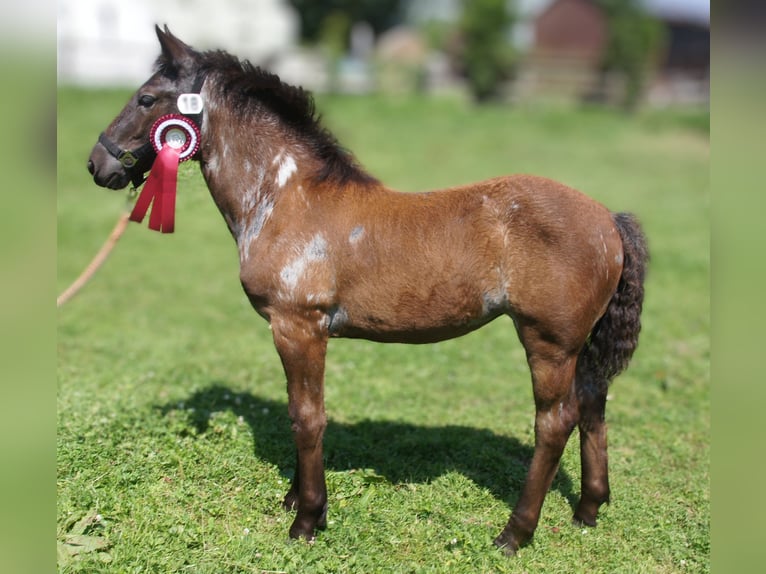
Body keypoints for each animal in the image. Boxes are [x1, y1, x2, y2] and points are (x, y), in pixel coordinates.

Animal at [87, 26, 648, 556]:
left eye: (146, 98)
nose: (98, 164)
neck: (284, 197)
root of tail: (609, 220)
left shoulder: (298, 327)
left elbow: (307, 417)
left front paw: (307, 519)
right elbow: (299, 411)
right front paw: (294, 498)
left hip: (548, 342)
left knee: (555, 422)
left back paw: (515, 533)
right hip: (577, 345)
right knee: (593, 404)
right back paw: (588, 509)